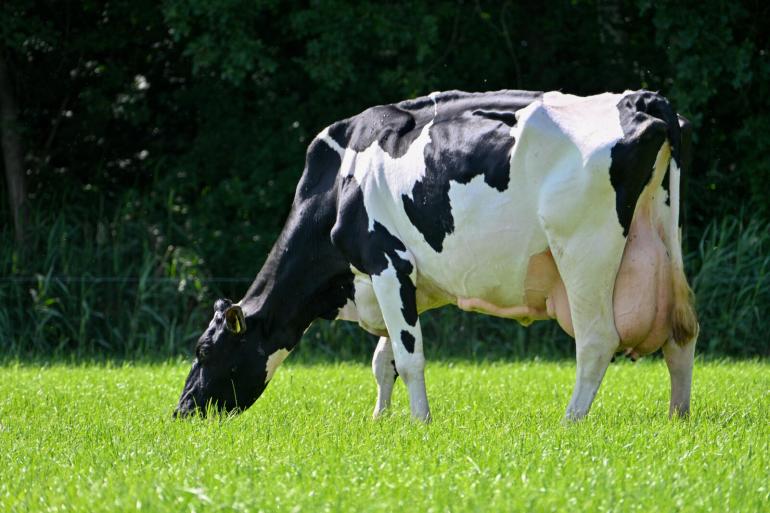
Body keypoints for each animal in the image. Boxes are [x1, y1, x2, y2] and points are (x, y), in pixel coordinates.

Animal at [174, 89, 699, 422]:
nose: (181, 411)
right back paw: (678, 416)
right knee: (682, 333)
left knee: (596, 341)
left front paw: (419, 422)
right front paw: (379, 418)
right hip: (665, 244)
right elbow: (383, 360)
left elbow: (409, 358)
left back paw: (570, 419)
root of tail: (640, 98)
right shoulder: (397, 284)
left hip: (583, 252)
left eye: (204, 350)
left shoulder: (387, 262)